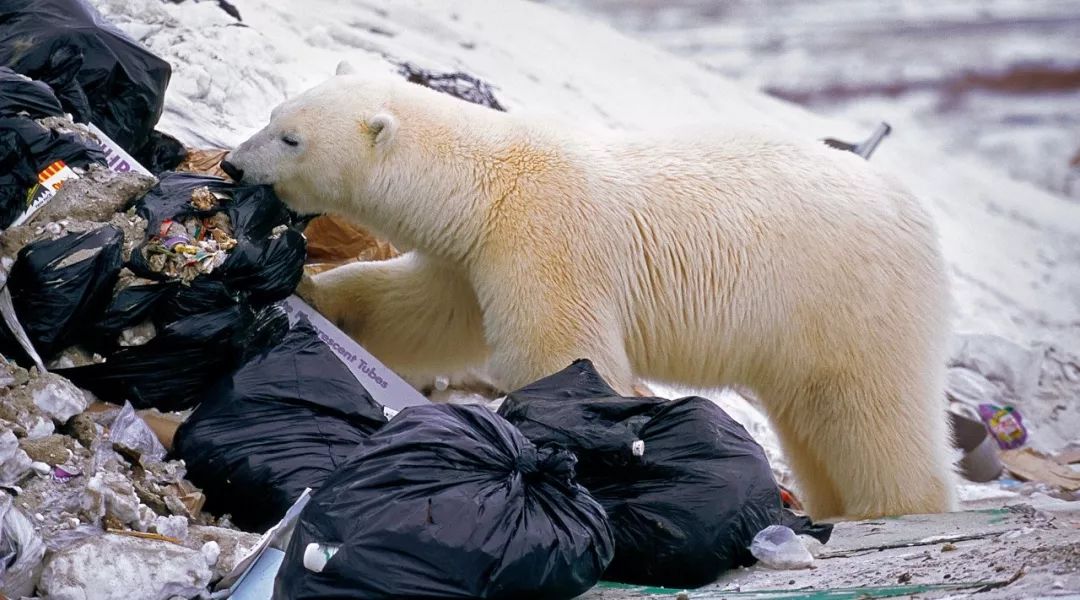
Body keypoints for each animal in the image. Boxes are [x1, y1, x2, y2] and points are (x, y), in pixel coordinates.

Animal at [223, 69, 959, 520]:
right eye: (274, 114)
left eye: (290, 137)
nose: (231, 163)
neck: (489, 181)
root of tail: (919, 217)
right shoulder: (475, 258)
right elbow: (422, 310)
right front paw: (312, 292)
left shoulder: (548, 238)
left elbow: (558, 350)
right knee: (810, 419)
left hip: (849, 297)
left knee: (867, 411)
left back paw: (893, 506)